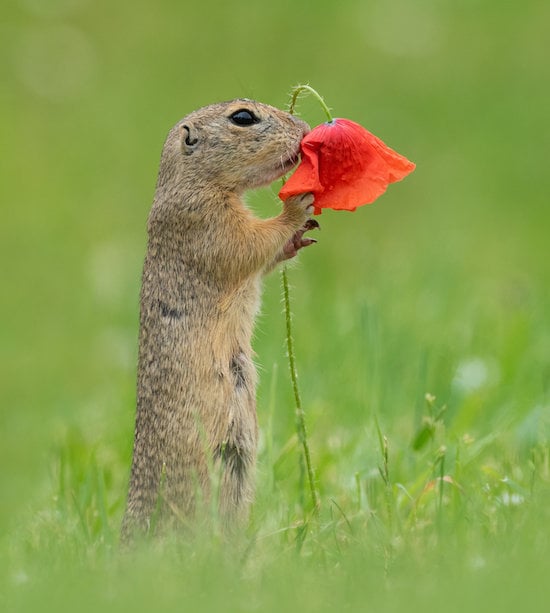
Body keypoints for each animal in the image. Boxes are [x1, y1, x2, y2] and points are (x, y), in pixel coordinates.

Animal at [122, 98, 316, 536]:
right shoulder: (205, 222)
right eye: (243, 117)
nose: (304, 127)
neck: (193, 182)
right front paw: (297, 206)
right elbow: (249, 244)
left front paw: (300, 237)